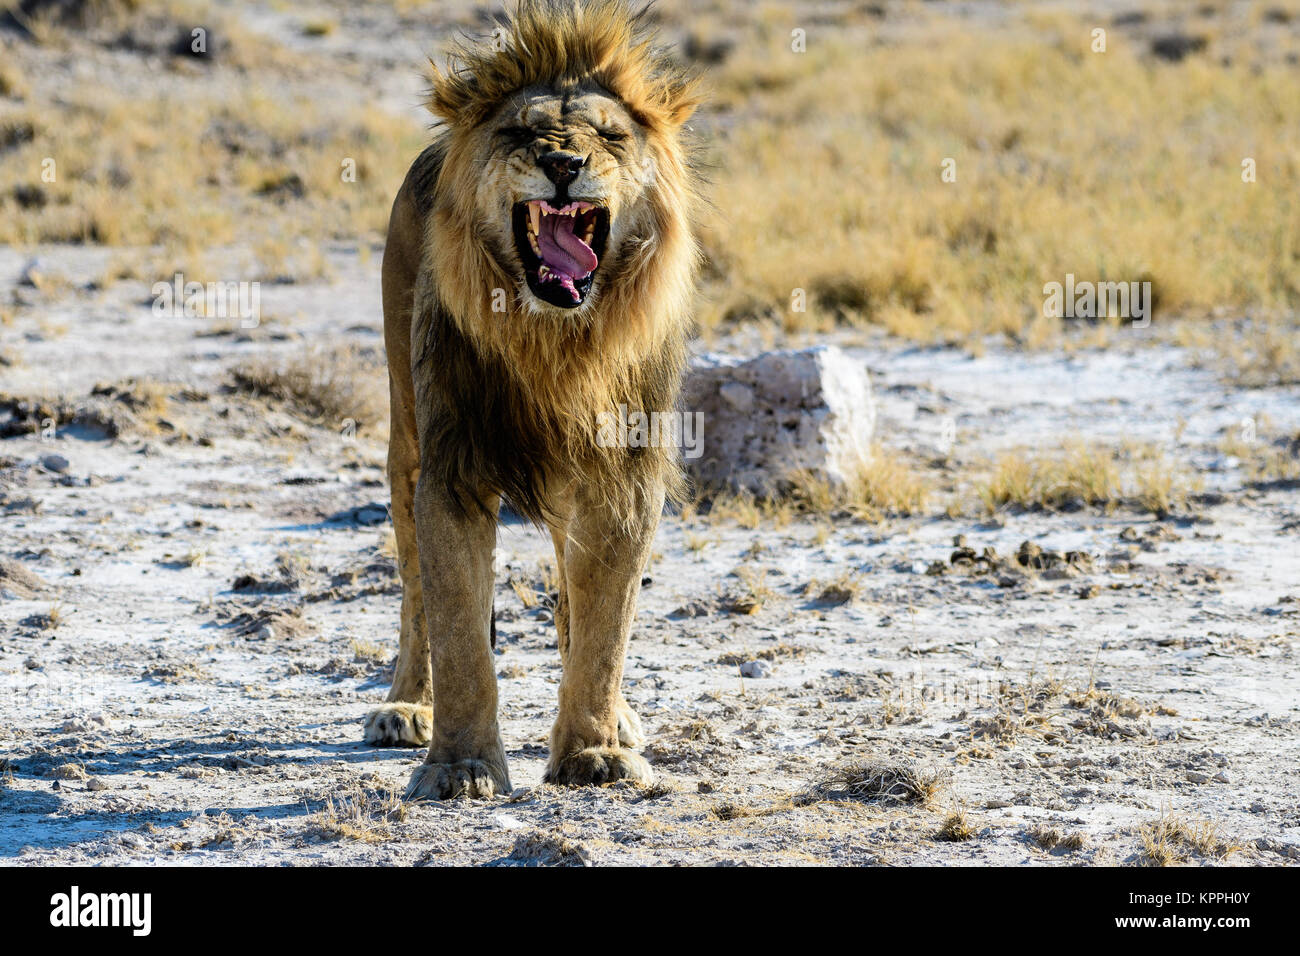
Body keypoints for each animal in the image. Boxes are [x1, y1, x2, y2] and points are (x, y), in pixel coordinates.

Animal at [366, 0, 702, 801]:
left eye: (611, 136)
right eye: (522, 133)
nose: (562, 166)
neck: (554, 344)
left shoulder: (622, 479)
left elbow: (605, 623)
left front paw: (594, 751)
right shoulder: (452, 469)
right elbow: (459, 628)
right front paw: (459, 766)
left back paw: (621, 718)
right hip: (405, 438)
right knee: (414, 590)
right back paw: (406, 706)